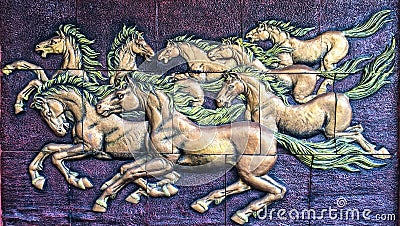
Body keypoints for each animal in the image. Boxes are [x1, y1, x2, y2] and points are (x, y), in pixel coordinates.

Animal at [93, 73, 286, 225]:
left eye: (119, 94)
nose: (99, 107)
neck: (163, 124)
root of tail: (270, 136)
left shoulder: (166, 162)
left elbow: (131, 173)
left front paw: (102, 201)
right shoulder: (151, 158)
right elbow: (126, 168)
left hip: (249, 171)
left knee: (274, 191)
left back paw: (239, 213)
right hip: (254, 171)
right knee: (268, 187)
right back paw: (205, 202)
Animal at [245, 9, 392, 70]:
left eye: (258, 31)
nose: (247, 36)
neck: (283, 43)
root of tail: (342, 33)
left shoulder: (287, 63)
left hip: (329, 58)